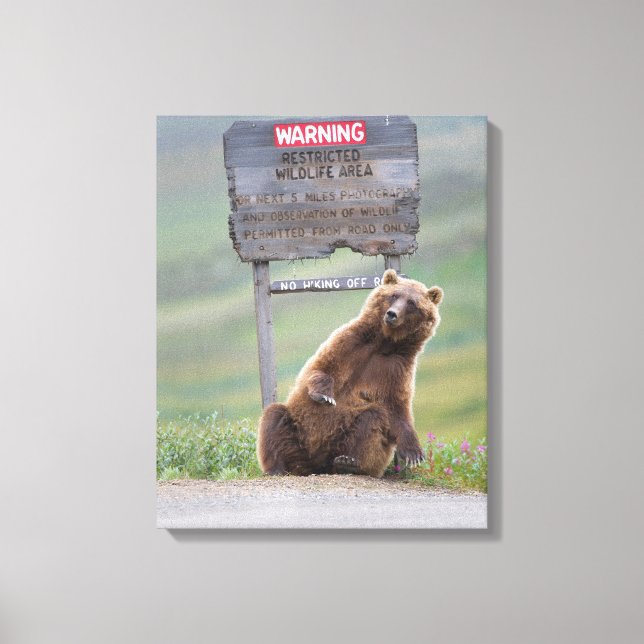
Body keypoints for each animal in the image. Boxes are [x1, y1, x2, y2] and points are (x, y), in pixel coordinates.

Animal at [256, 269, 444, 478]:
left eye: (412, 303)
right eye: (393, 295)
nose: (392, 314)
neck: (383, 343)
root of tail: (317, 466)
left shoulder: (396, 367)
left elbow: (396, 406)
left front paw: (413, 453)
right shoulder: (350, 342)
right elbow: (321, 367)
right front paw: (325, 395)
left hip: (342, 439)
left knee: (372, 418)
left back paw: (348, 462)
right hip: (298, 430)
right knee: (274, 418)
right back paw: (277, 468)